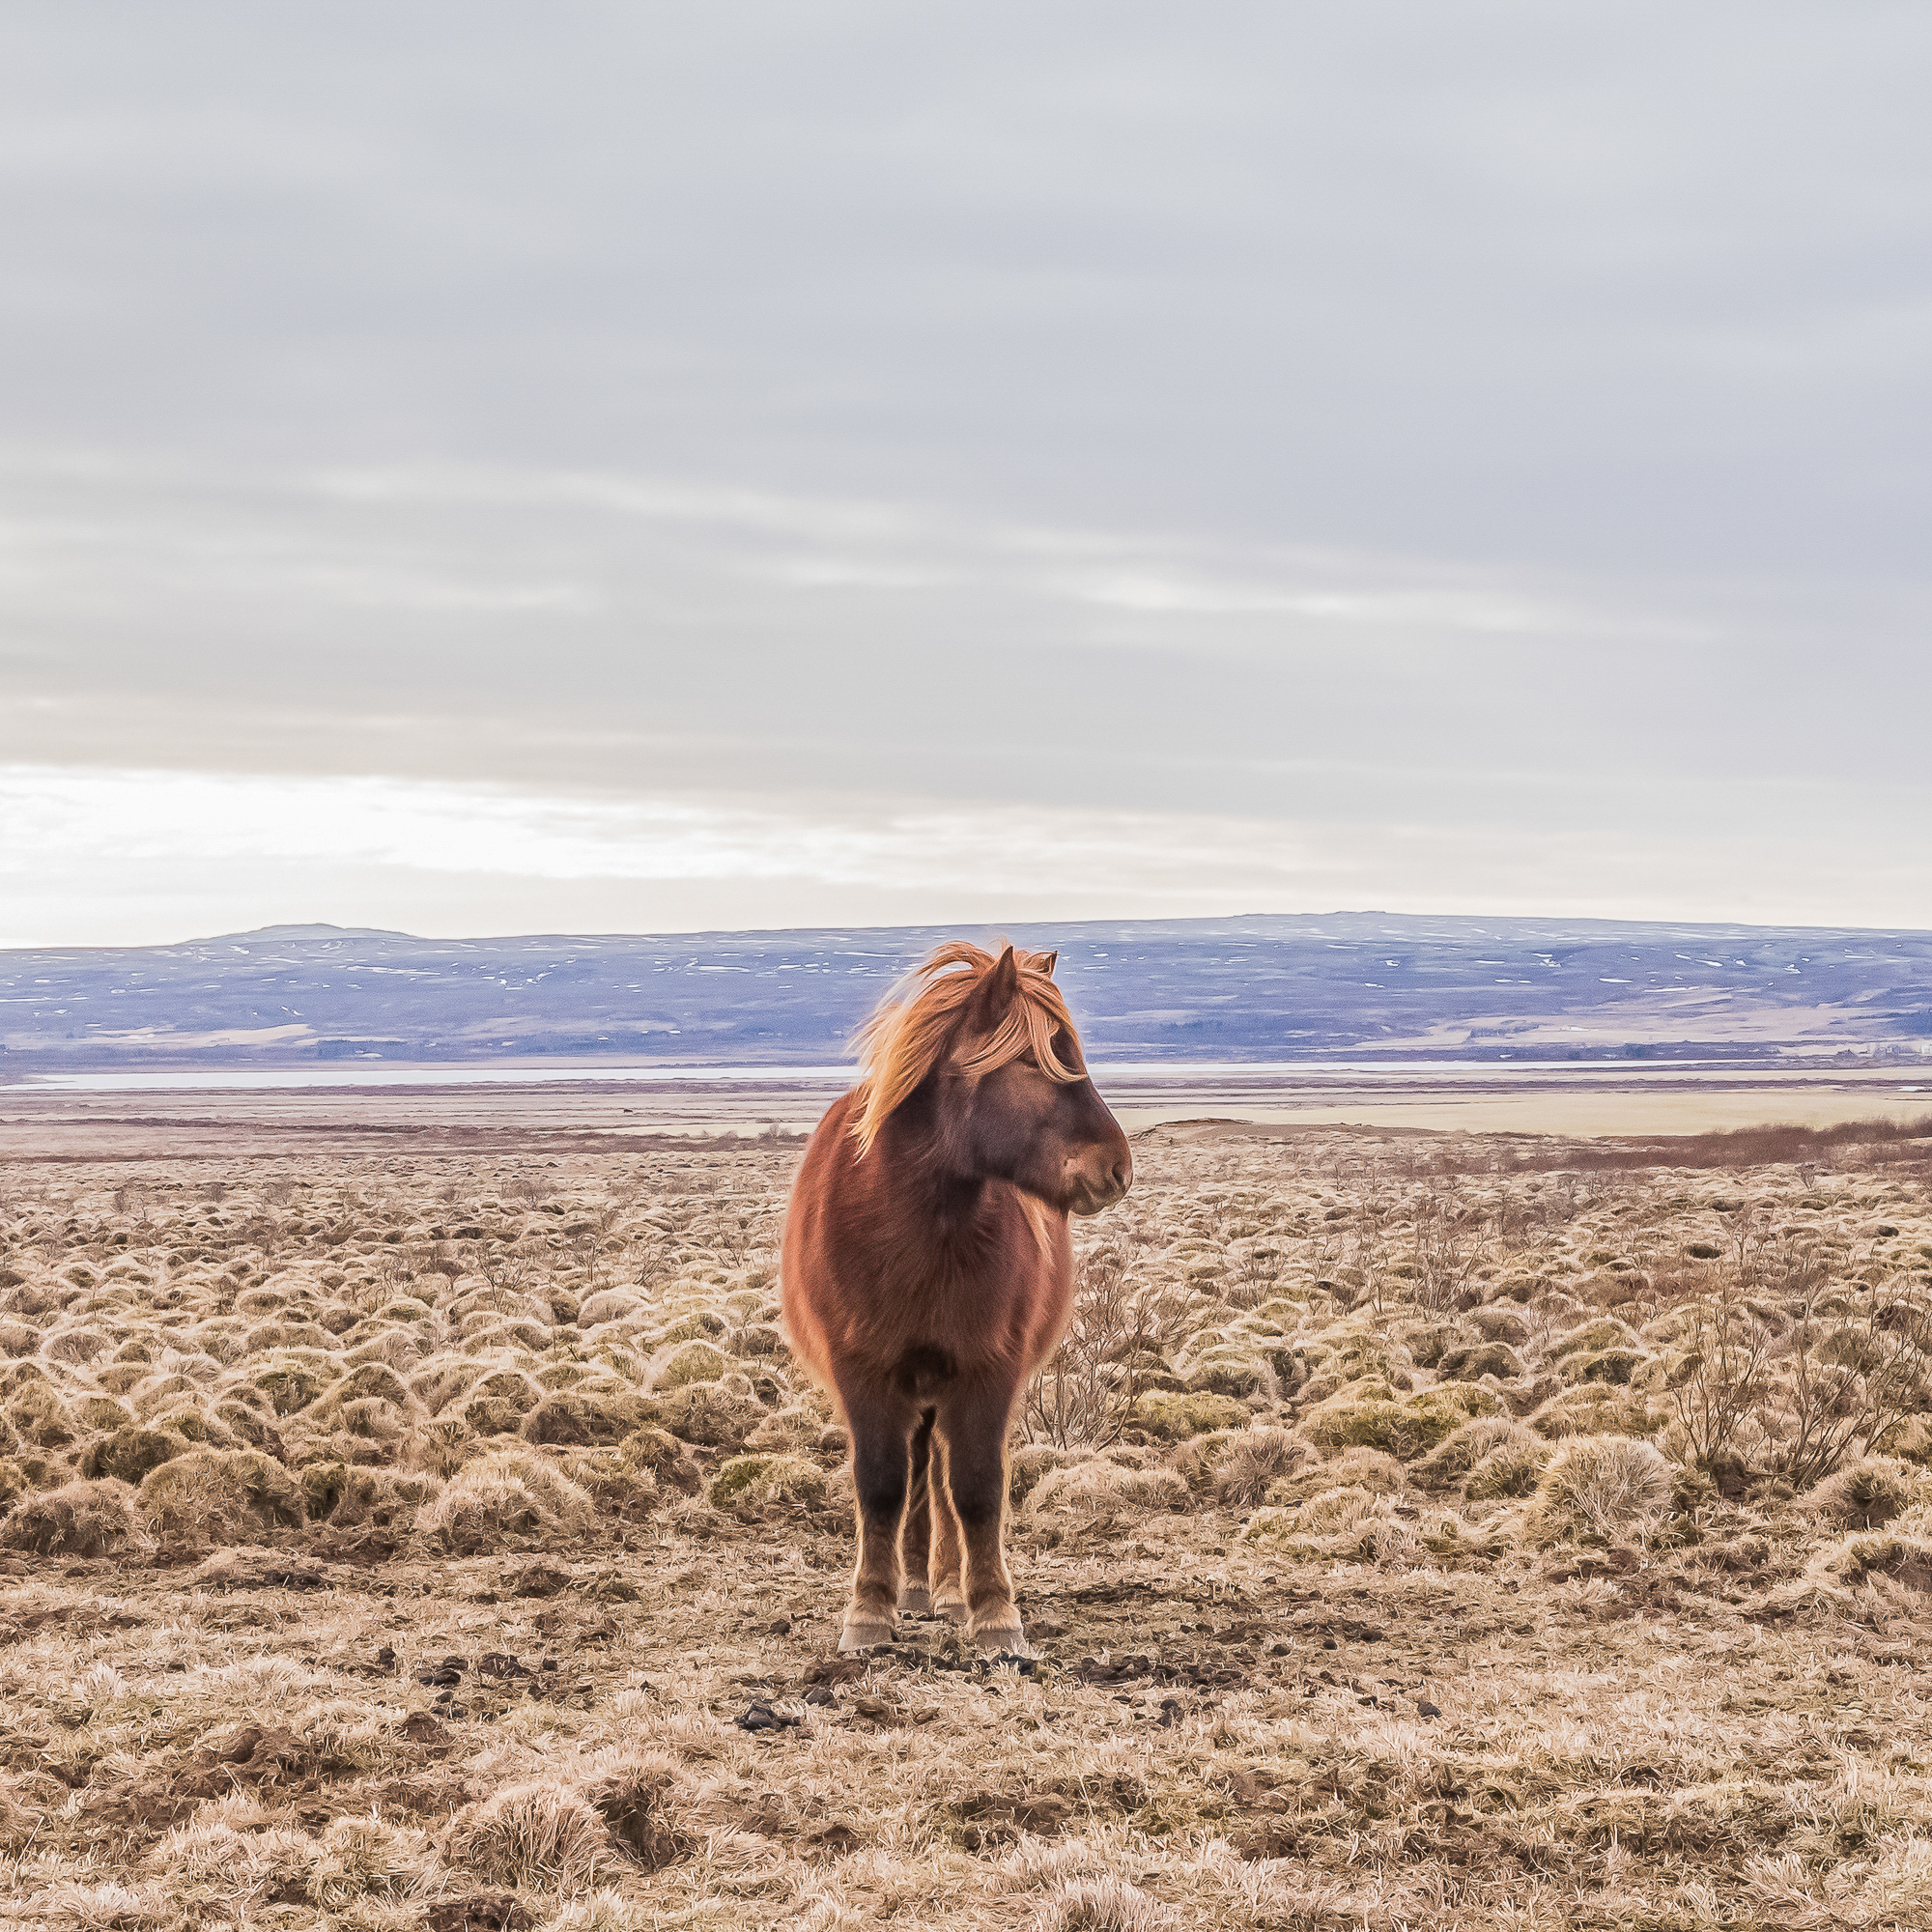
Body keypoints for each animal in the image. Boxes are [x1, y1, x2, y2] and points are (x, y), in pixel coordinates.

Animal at [777, 943, 1128, 1654]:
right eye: (1033, 1060)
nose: (1118, 1168)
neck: (917, 1226)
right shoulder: (865, 1371)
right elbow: (882, 1486)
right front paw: (869, 1612)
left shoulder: (987, 1370)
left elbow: (976, 1489)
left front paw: (994, 1615)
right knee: (916, 1475)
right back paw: (913, 1588)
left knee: (938, 1478)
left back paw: (944, 1588)